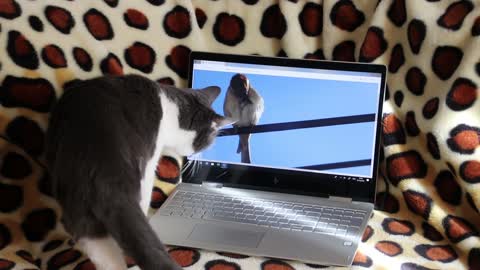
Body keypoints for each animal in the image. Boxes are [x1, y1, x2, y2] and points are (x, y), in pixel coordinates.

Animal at [45, 74, 231, 270]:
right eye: (210, 141)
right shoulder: (150, 160)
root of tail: (103, 180)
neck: (170, 110)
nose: (201, 154)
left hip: (77, 209)